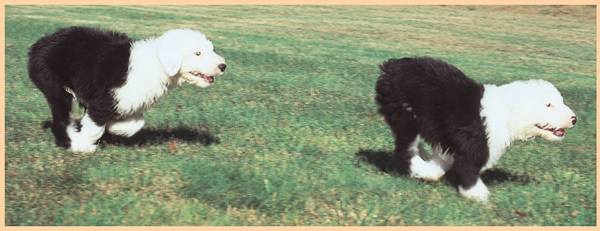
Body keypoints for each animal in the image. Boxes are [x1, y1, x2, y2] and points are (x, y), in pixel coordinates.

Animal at [28, 27, 226, 152]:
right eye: (197, 53)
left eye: (210, 49)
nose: (223, 65)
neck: (157, 64)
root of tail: (38, 44)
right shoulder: (104, 100)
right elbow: (94, 127)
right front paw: (83, 144)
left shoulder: (128, 101)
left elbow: (137, 123)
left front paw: (115, 127)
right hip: (55, 87)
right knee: (61, 121)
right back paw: (73, 142)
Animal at [376, 56, 576, 203]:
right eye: (548, 105)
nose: (574, 119)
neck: (506, 113)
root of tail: (390, 66)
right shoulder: (474, 146)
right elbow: (467, 170)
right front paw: (478, 195)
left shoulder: (449, 144)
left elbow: (441, 162)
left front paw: (431, 172)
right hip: (405, 114)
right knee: (404, 151)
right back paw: (420, 166)